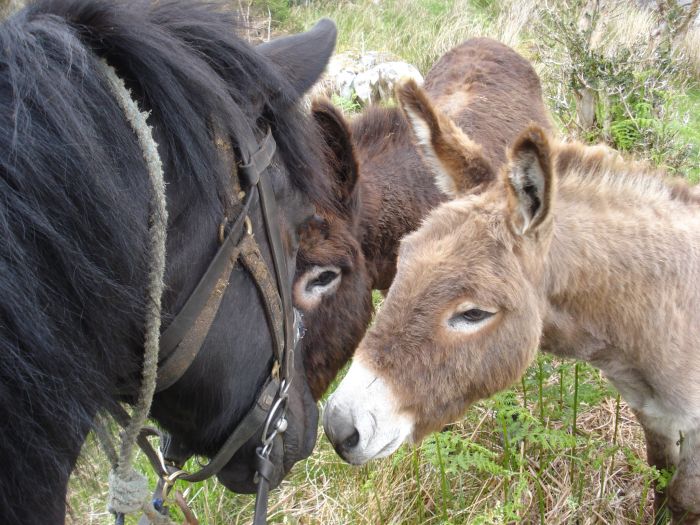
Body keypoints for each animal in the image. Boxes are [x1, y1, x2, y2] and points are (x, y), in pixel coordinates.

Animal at [322, 82, 700, 520]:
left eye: (473, 313)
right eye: (403, 260)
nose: (337, 426)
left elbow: (682, 497)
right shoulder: (654, 417)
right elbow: (660, 482)